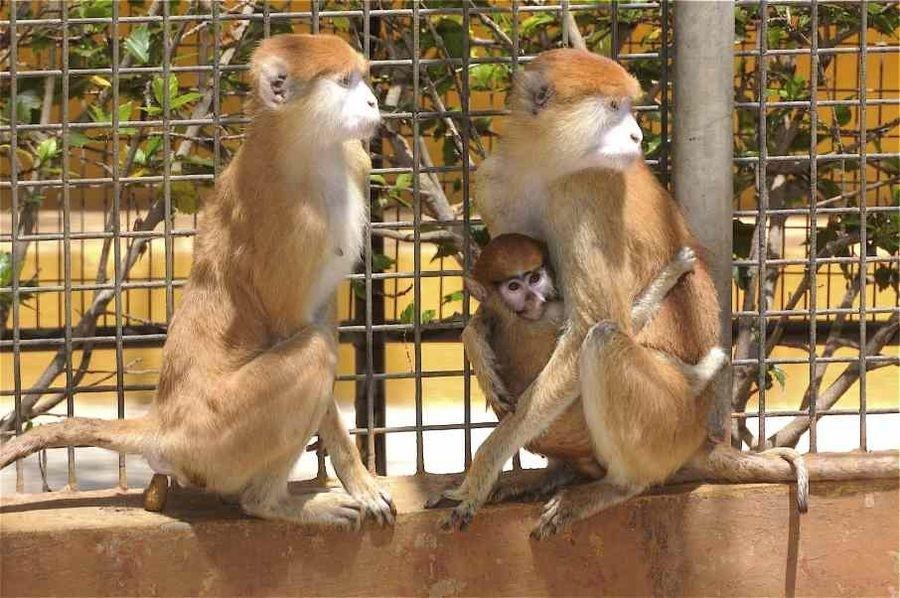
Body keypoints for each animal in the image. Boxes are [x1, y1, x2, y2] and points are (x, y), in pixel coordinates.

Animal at [0, 34, 395, 529]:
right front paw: (360, 484)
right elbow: (296, 327)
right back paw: (269, 503)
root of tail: (162, 426)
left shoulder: (354, 162)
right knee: (314, 353)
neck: (297, 142)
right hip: (215, 439)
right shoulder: (296, 225)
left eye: (362, 77)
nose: (372, 101)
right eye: (345, 82)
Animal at [457, 233, 727, 503]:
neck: (508, 314)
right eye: (513, 287)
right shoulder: (550, 312)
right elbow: (606, 324)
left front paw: (474, 334)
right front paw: (671, 273)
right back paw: (700, 375)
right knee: (603, 335)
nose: (534, 298)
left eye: (534, 278)